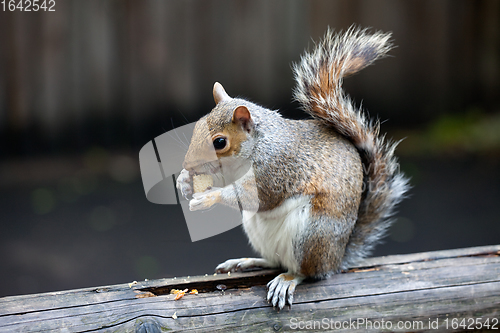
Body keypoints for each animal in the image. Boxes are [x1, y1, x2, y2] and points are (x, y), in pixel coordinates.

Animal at [176, 27, 410, 310]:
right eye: (198, 125)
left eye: (219, 142)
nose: (187, 164)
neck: (257, 144)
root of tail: (336, 259)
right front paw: (184, 181)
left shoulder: (277, 167)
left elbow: (256, 196)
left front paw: (209, 196)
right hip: (259, 231)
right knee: (275, 260)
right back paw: (248, 261)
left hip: (312, 234)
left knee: (305, 271)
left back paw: (287, 279)